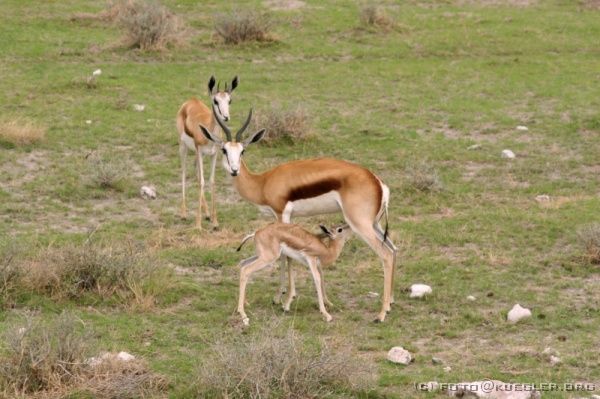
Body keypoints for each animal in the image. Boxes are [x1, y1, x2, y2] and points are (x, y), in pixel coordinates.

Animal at [175, 76, 238, 230]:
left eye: (229, 100)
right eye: (215, 100)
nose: (226, 117)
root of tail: (190, 101)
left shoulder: (214, 155)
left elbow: (211, 181)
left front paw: (215, 222)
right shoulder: (199, 151)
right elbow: (202, 182)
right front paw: (198, 225)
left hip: (199, 155)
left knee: (197, 174)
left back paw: (207, 213)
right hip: (184, 148)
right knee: (185, 173)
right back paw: (184, 214)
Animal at [200, 108, 398, 324]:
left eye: (242, 151)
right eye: (224, 150)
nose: (235, 170)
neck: (262, 182)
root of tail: (378, 182)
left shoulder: (281, 215)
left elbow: (285, 258)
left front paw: (282, 299)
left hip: (360, 225)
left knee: (386, 255)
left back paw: (380, 314)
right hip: (375, 224)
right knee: (394, 249)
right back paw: (390, 304)